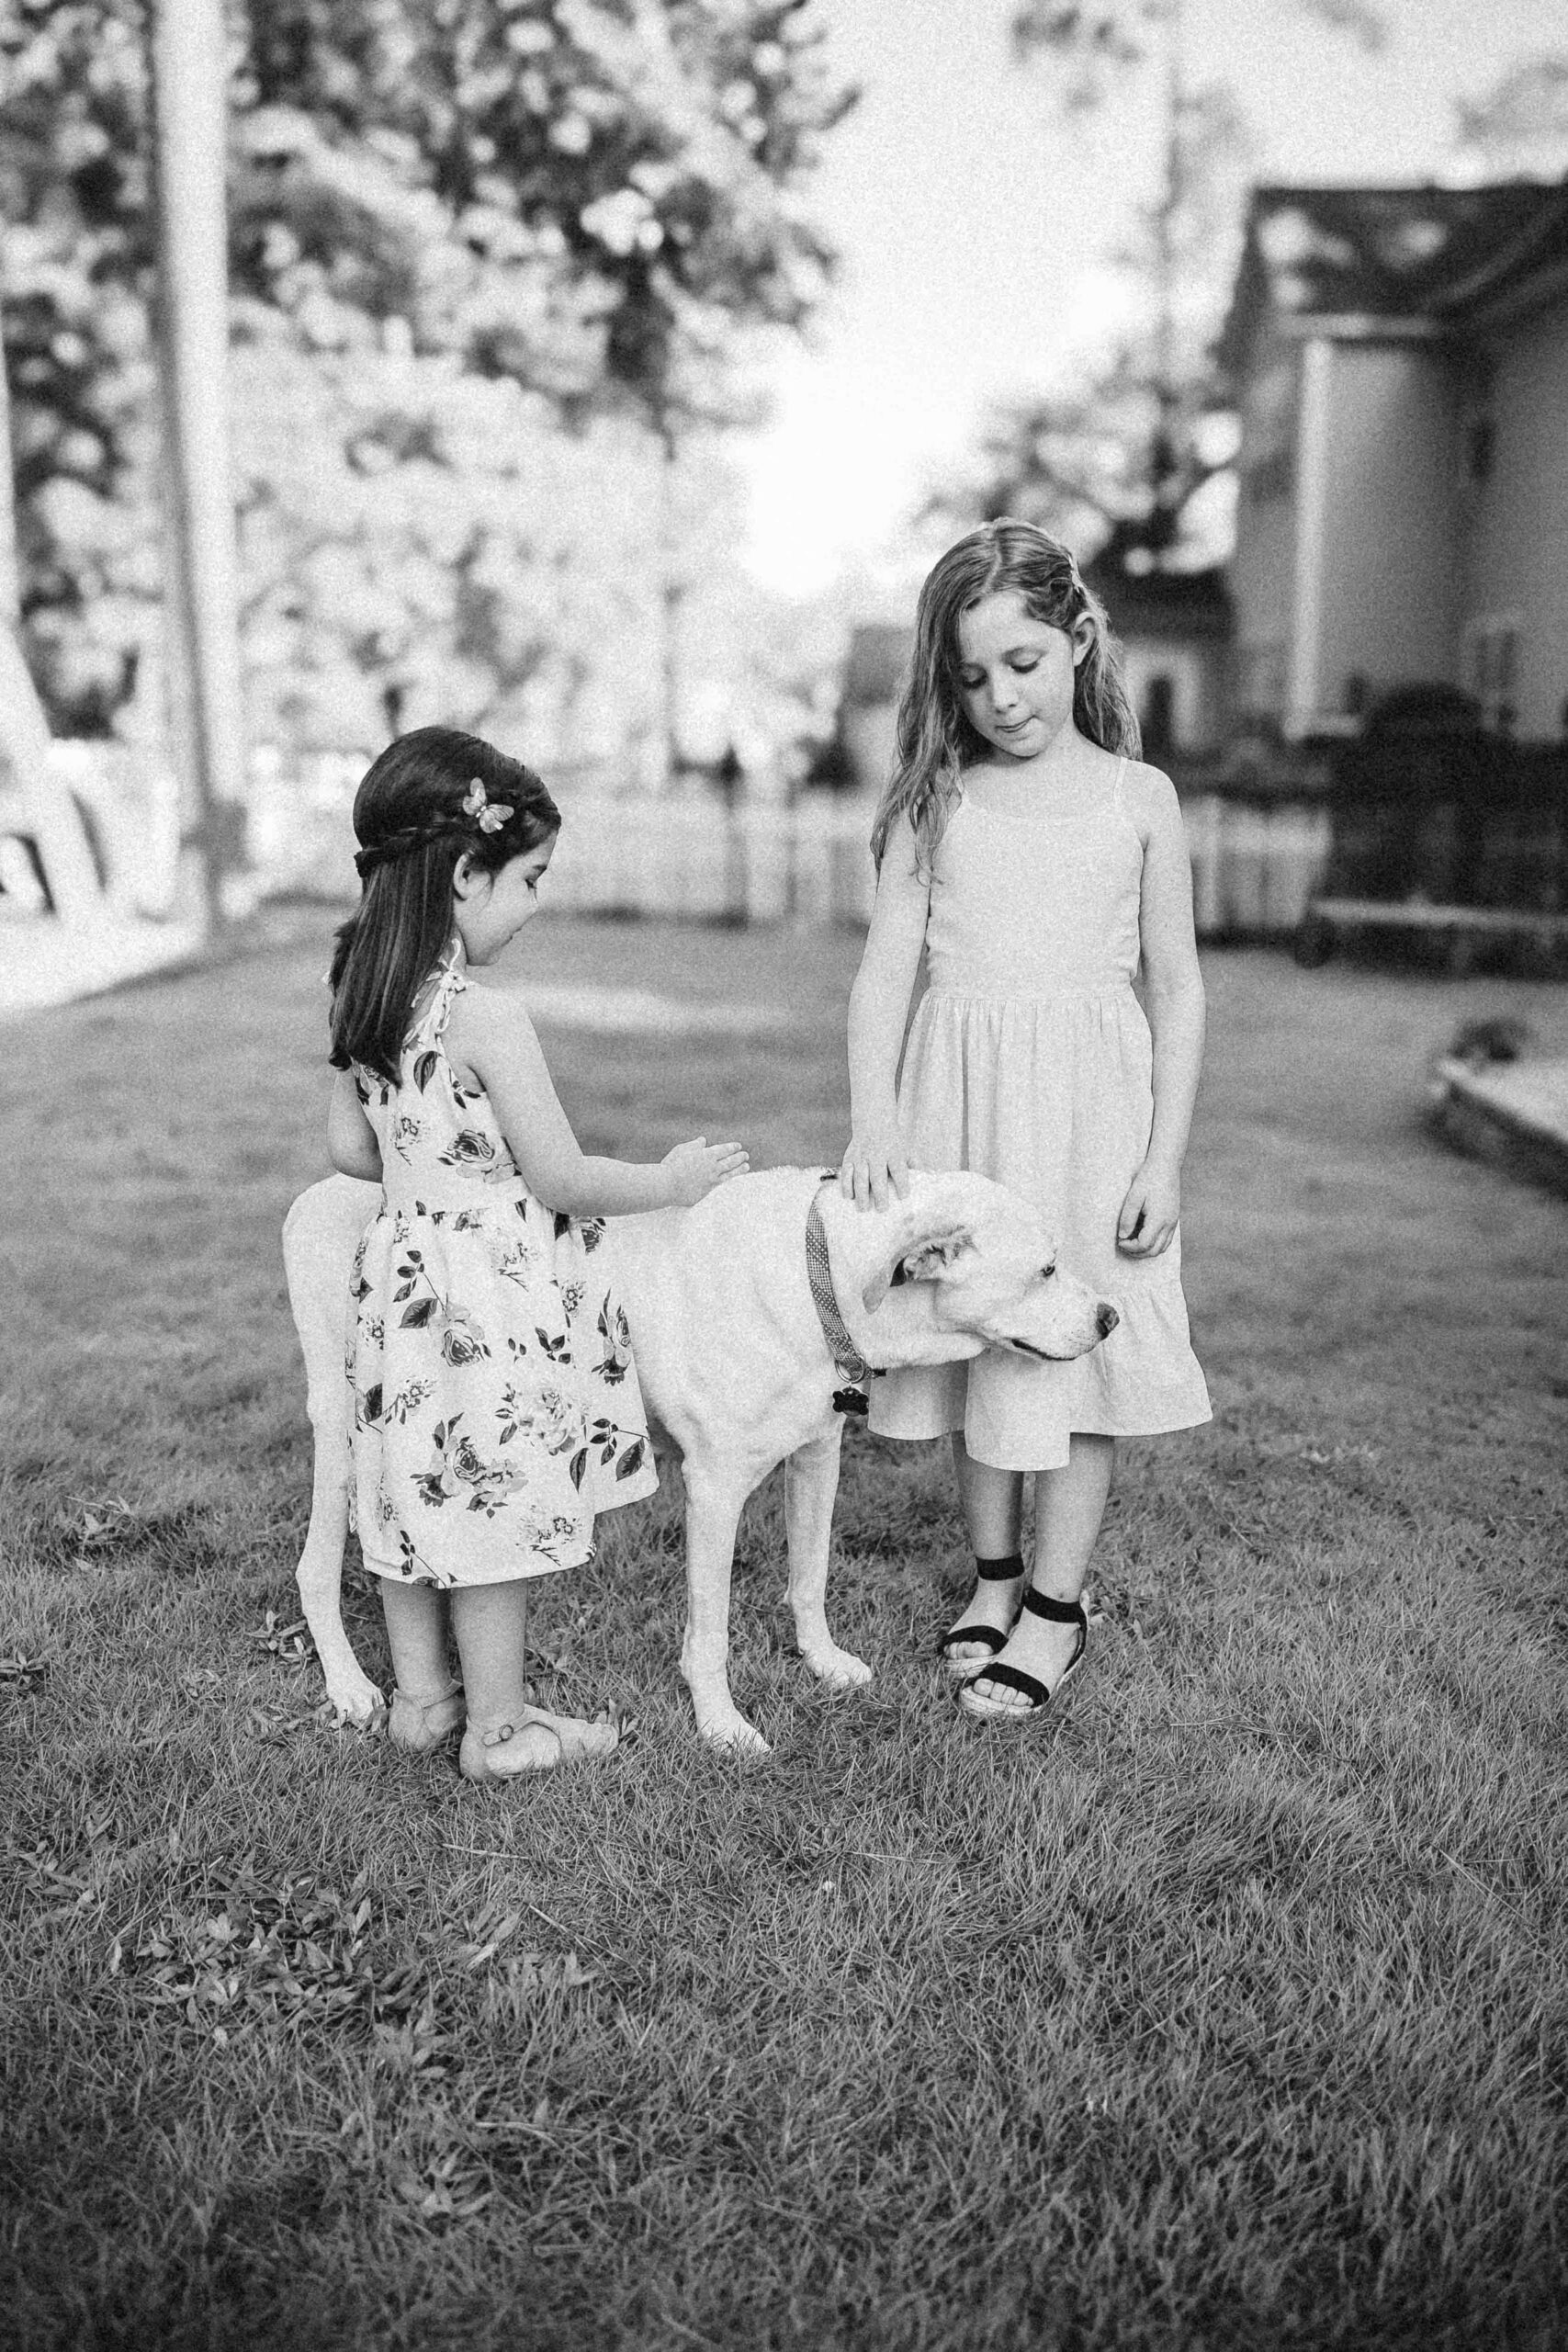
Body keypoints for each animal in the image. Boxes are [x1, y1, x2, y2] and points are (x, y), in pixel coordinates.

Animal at [282, 1166, 1114, 1758]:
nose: (1111, 1316)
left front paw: (823, 1662)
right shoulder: (714, 1491)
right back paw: (351, 1687)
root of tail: (319, 1191)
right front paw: (720, 1725)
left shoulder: (818, 1459)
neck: (821, 1279)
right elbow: (709, 1632)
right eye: (1045, 1271)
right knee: (316, 1568)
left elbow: (809, 1579)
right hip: (348, 1433)